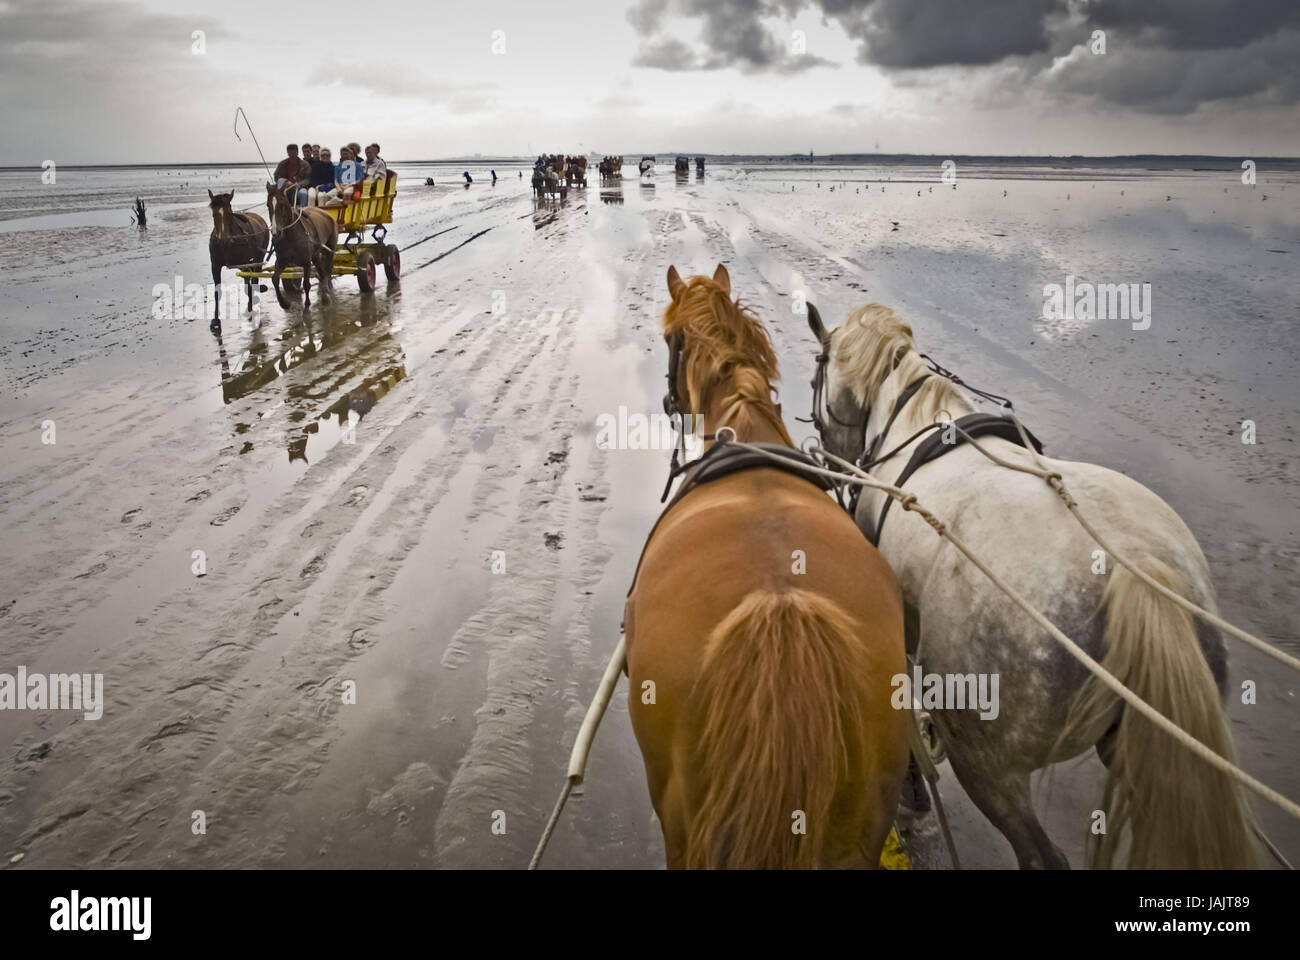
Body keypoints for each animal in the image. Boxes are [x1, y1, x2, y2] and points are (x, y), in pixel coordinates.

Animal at [206, 191, 267, 333]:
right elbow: (217, 291)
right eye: (214, 215)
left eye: (229, 213)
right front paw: (216, 320)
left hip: (259, 257)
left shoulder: (246, 263)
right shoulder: (215, 266)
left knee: (254, 278)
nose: (223, 239)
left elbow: (250, 282)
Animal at [265, 180, 338, 308]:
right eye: (268, 205)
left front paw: (307, 303)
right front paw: (284, 303)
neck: (291, 236)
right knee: (322, 273)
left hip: (330, 248)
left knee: (327, 271)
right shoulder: (282, 261)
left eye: (282, 205)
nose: (275, 232)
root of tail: (326, 214)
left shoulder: (306, 262)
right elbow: (275, 279)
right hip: (316, 255)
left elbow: (306, 284)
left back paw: (326, 293)